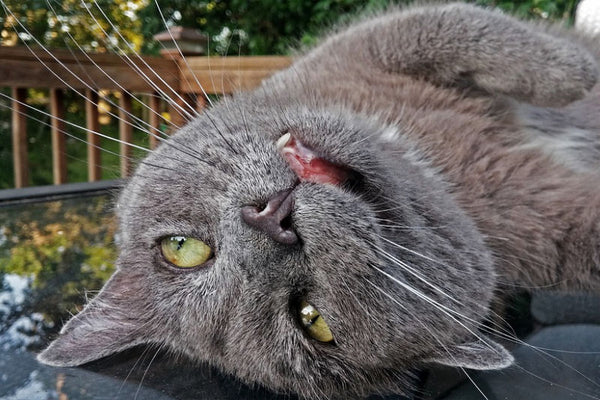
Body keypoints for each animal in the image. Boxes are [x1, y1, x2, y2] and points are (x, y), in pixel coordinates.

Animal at [36, 3, 600, 400]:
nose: (271, 219)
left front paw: (580, 70)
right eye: (312, 319)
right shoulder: (552, 231)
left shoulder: (369, 47)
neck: (434, 162)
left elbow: (462, 28)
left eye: (182, 248)